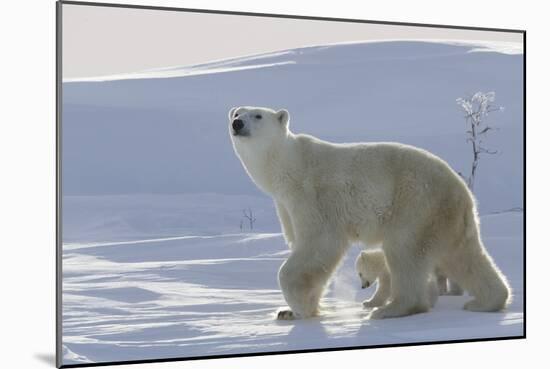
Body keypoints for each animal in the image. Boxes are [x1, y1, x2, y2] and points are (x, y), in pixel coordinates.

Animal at [229, 106, 512, 320]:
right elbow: (301, 243)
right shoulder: (285, 204)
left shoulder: (312, 197)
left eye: (257, 115)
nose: (237, 123)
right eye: (238, 111)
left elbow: (319, 244)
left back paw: (391, 309)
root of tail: (462, 190)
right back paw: (487, 301)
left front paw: (300, 307)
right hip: (444, 217)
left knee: (405, 251)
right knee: (464, 256)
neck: (289, 167)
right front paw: (289, 311)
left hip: (415, 203)